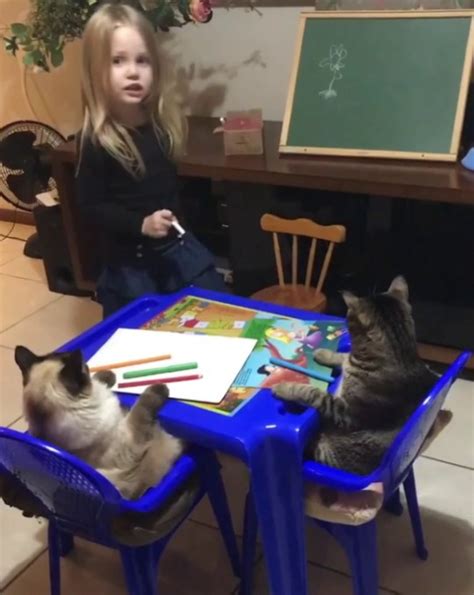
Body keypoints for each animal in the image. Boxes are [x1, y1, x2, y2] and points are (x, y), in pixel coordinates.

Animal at [14, 346, 181, 500]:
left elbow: (100, 379)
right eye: (85, 368)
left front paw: (109, 375)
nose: (87, 365)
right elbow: (141, 406)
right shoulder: (130, 440)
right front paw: (160, 387)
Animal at [272, 278, 438, 478]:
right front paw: (323, 353)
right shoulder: (349, 362)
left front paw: (284, 387)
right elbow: (342, 357)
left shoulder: (345, 412)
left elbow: (312, 393)